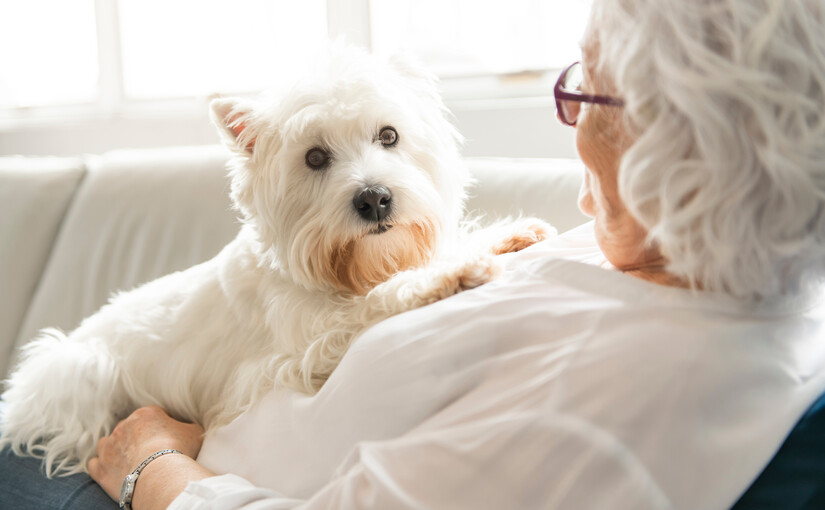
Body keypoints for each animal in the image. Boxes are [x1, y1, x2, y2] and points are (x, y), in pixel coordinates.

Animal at [1, 46, 552, 474]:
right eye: (314, 158)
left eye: (389, 136)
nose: (375, 199)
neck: (340, 271)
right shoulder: (299, 350)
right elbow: (375, 301)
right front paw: (451, 272)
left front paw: (505, 236)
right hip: (77, 371)